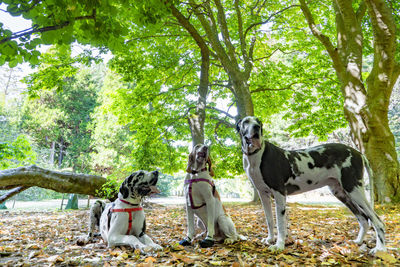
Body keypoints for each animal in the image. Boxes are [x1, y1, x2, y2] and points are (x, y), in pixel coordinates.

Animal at [236, 117, 386, 255]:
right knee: (364, 219)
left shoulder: (279, 194)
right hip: (342, 193)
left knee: (378, 221)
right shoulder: (263, 195)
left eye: (258, 122)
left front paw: (279, 245)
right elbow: (269, 220)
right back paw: (358, 242)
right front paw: (269, 239)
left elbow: (280, 224)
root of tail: (359, 153)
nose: (256, 127)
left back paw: (380, 249)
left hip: (354, 190)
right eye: (246, 122)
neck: (257, 155)